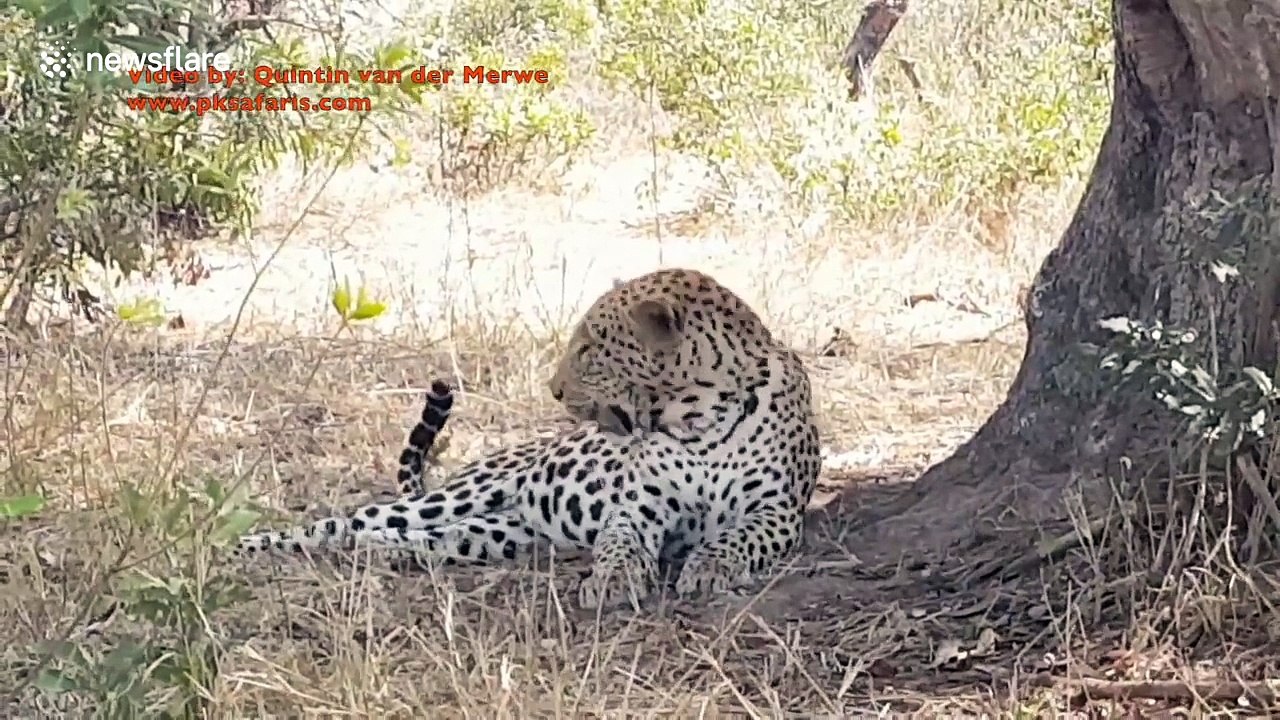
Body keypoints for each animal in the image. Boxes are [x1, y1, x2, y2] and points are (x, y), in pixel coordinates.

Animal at [235, 267, 822, 610]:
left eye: (589, 350)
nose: (554, 389)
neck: (696, 420)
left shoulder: (777, 512)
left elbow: (734, 537)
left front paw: (706, 567)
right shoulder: (636, 508)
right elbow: (619, 544)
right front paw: (611, 581)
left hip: (496, 533)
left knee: (411, 537)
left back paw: (384, 554)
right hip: (456, 497)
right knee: (340, 524)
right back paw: (241, 546)